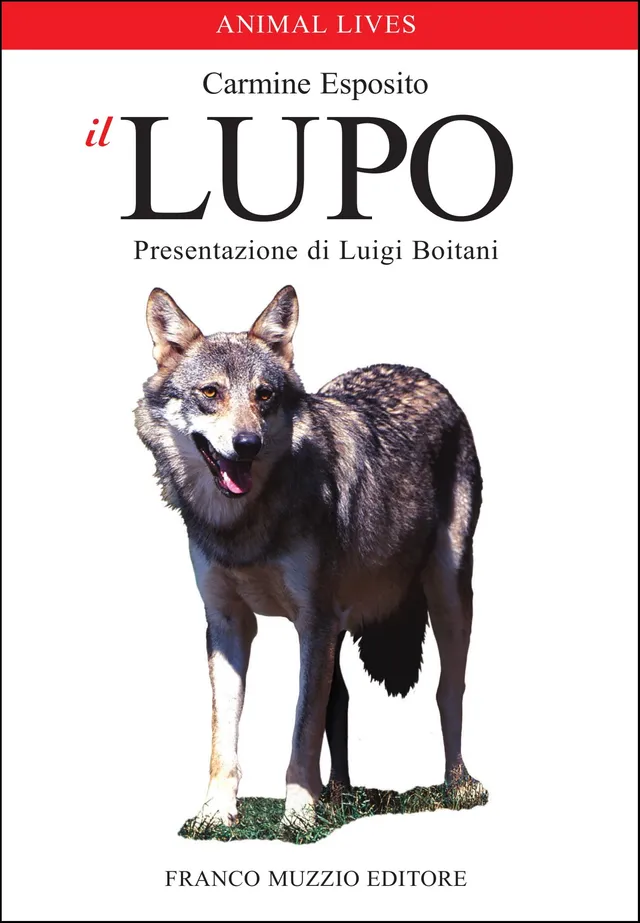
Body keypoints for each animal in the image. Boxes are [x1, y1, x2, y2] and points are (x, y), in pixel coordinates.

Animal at [136, 284, 484, 827]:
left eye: (264, 395)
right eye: (211, 393)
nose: (247, 444)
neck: (243, 525)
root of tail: (418, 372)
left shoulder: (312, 621)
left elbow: (302, 730)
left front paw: (298, 813)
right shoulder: (229, 622)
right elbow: (224, 736)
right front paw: (216, 812)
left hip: (447, 597)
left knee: (448, 691)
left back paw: (458, 786)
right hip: (341, 628)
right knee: (338, 701)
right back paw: (338, 796)